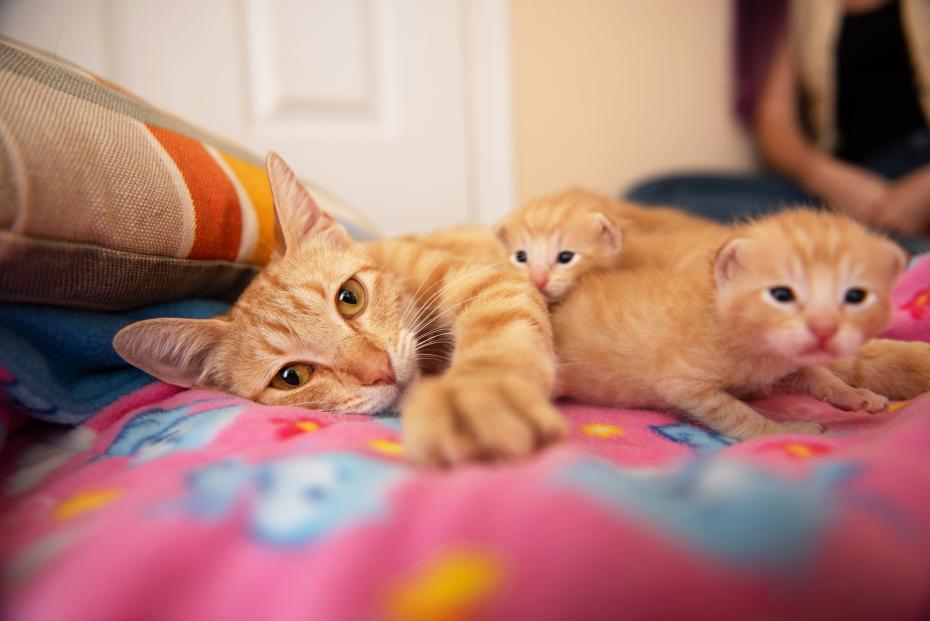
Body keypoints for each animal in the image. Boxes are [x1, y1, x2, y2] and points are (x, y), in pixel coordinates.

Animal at [116, 154, 564, 464]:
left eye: (350, 297)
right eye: (291, 377)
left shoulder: (486, 280)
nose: (379, 369)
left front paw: (478, 395)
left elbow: (497, 330)